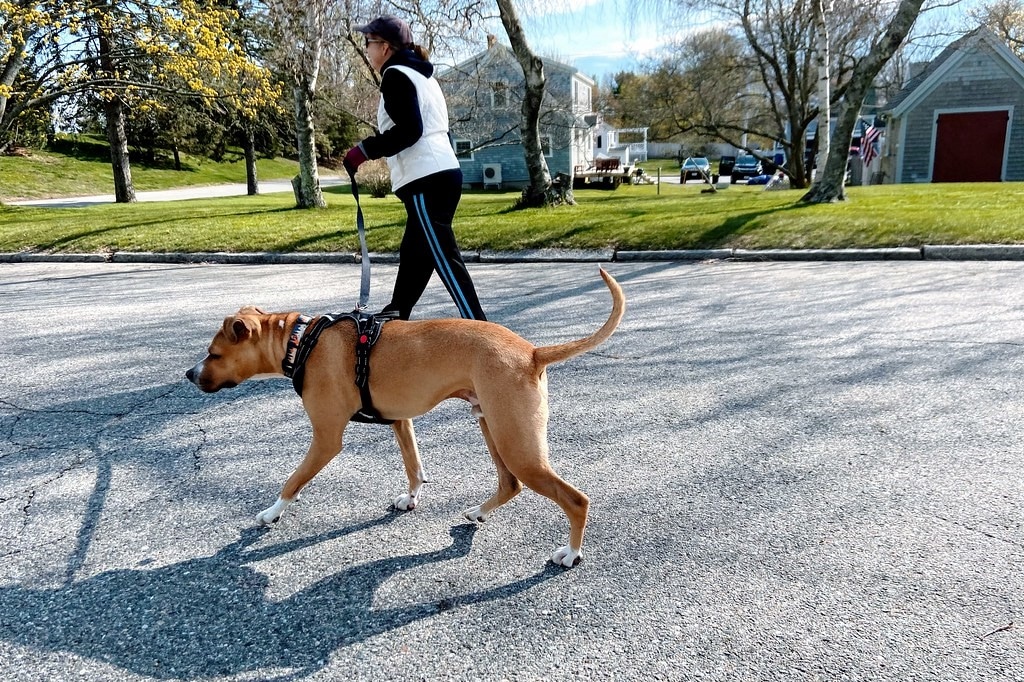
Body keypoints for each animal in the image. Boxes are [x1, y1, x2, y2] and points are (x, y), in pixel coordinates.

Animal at [188, 268, 626, 565]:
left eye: (214, 354)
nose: (190, 374)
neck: (300, 341)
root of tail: (533, 352)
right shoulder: (401, 422)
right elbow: (414, 467)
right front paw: (411, 498)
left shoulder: (326, 439)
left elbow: (292, 480)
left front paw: (272, 512)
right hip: (494, 427)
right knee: (510, 484)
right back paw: (479, 512)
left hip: (517, 444)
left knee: (575, 499)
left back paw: (570, 553)